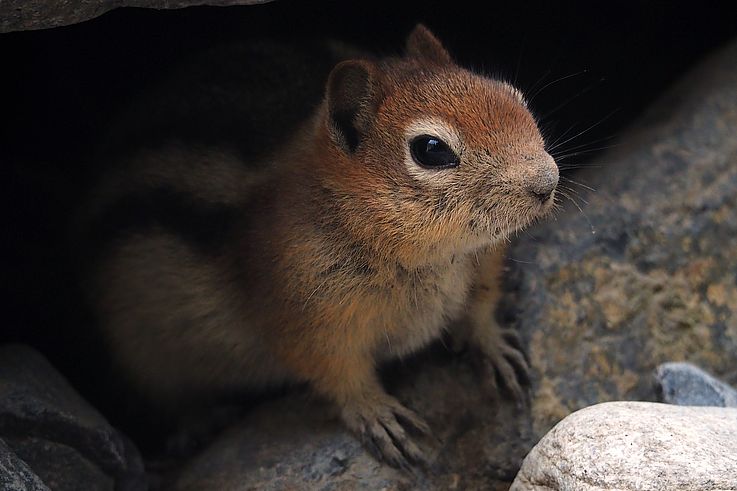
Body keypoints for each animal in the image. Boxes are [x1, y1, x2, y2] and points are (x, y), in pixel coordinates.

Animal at [79, 25, 558, 468]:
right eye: (431, 150)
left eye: (514, 96)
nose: (547, 182)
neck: (433, 256)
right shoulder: (305, 320)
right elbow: (337, 373)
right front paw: (377, 413)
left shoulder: (483, 267)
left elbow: (479, 309)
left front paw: (495, 347)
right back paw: (195, 425)